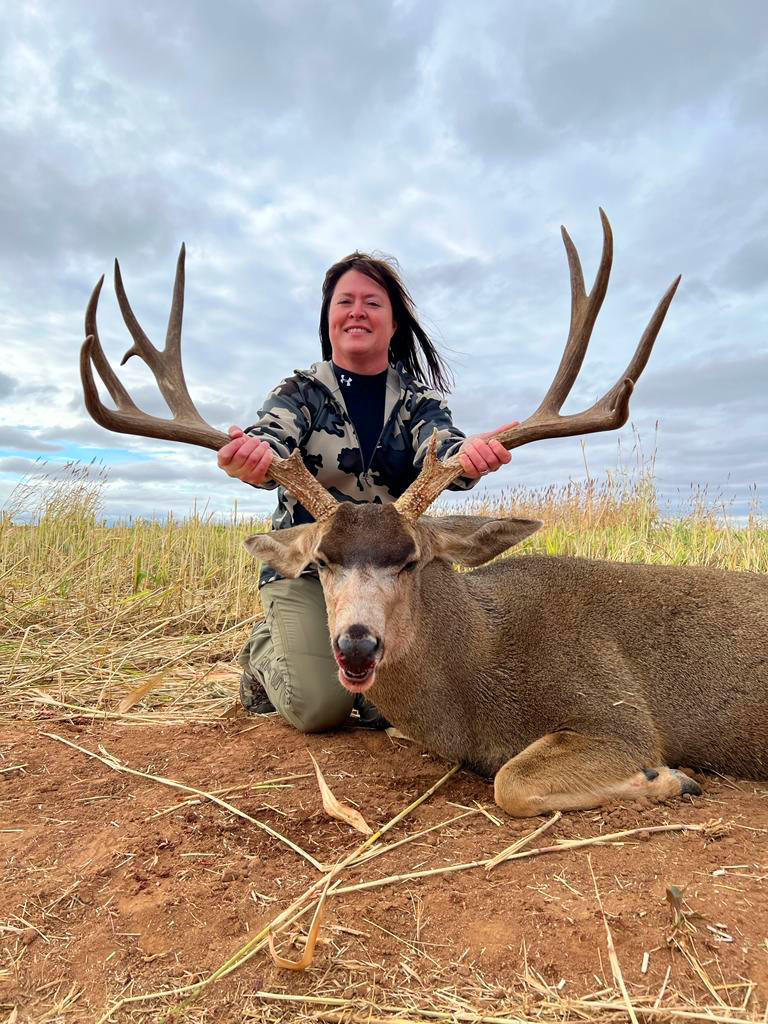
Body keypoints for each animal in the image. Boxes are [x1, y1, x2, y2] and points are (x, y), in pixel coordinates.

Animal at [80, 211, 768, 817]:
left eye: (411, 560)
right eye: (321, 562)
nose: (356, 643)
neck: (479, 670)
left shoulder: (617, 712)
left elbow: (512, 783)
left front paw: (669, 778)